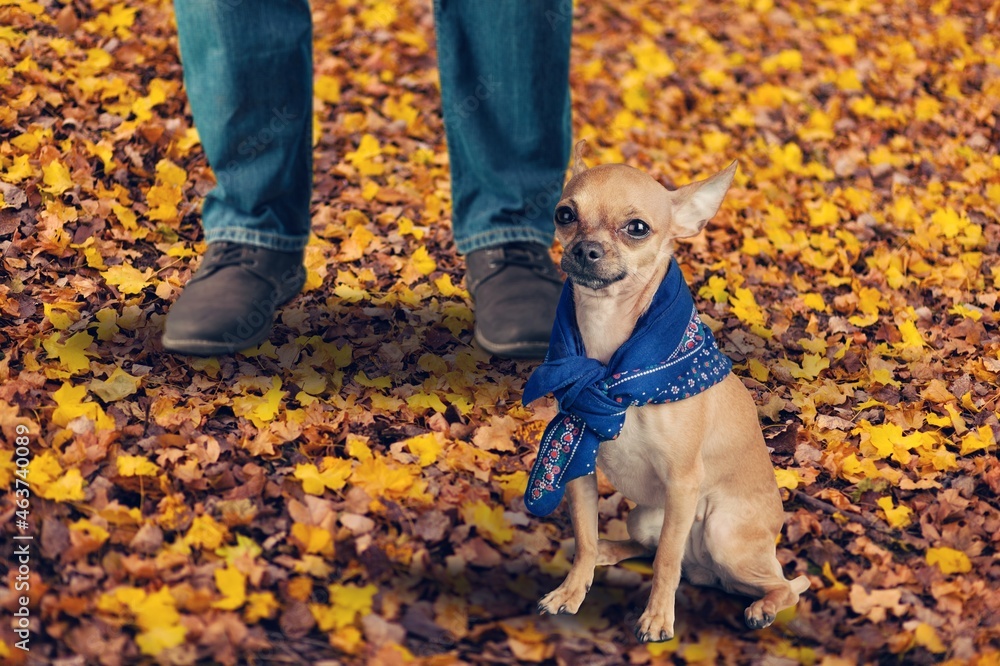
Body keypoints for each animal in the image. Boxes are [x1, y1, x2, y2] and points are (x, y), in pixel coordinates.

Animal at [528, 143, 808, 640]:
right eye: (565, 215)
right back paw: (610, 551)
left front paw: (658, 617)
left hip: (721, 532)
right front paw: (572, 590)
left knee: (781, 585)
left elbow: (666, 563)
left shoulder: (683, 481)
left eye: (637, 228)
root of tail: (708, 571)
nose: (585, 248)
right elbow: (585, 537)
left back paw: (764, 607)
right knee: (646, 546)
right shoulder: (578, 463)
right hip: (645, 516)